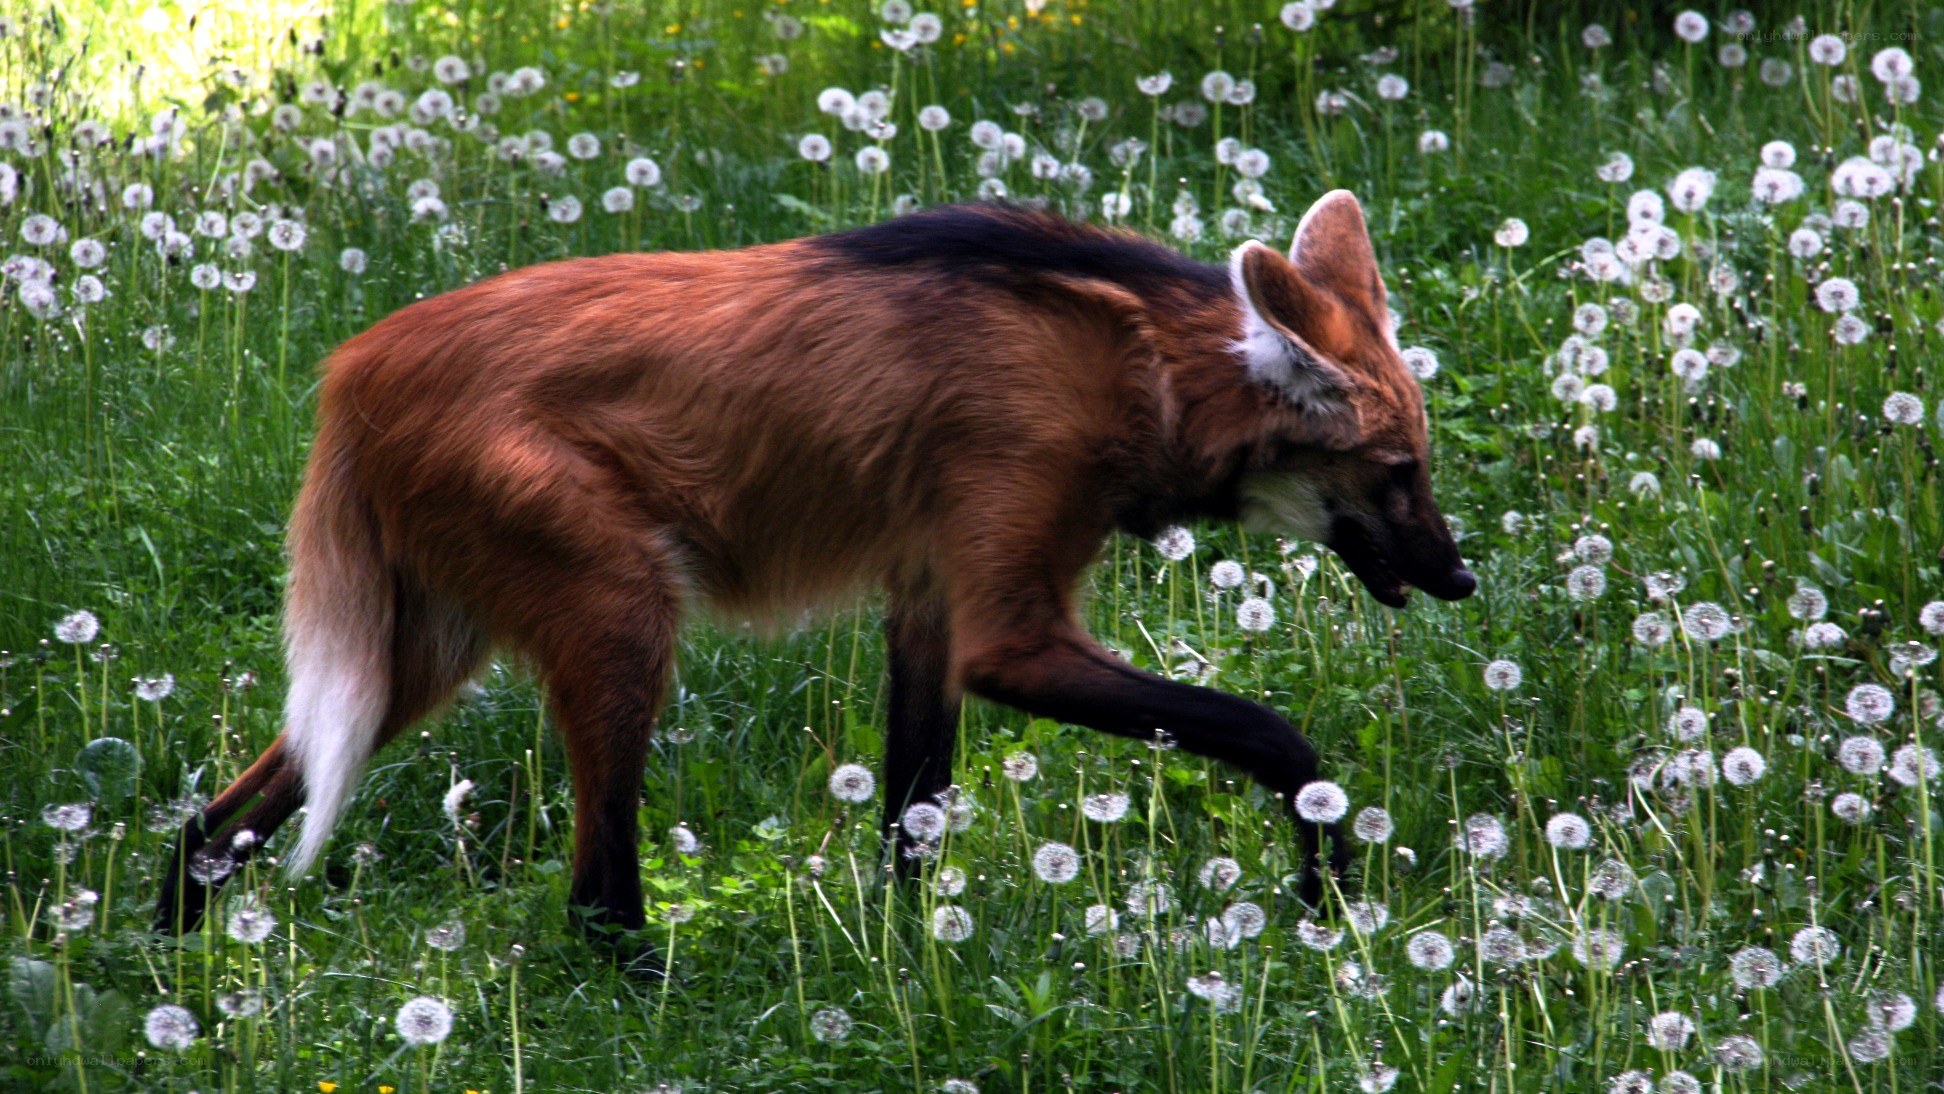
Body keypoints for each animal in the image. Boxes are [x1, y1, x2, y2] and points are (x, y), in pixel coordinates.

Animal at [154, 190, 1475, 962]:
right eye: (1398, 468)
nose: (1462, 577)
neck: (1138, 367)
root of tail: (353, 370)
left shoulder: (931, 602)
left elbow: (913, 806)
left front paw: (910, 952)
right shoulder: (1007, 623)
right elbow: (1270, 732)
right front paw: (1325, 883)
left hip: (424, 648)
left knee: (216, 817)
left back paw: (167, 953)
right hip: (618, 610)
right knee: (589, 886)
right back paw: (645, 976)